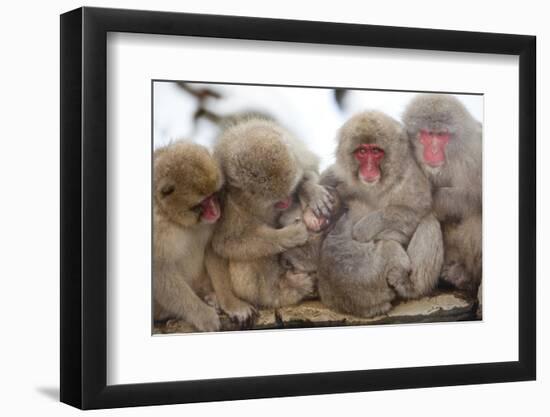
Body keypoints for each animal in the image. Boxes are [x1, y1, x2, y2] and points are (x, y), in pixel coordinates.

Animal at [153, 141, 224, 330]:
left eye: (213, 196)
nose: (216, 211)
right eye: (203, 202)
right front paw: (202, 314)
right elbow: (159, 269)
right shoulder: (158, 227)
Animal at [210, 115, 332, 316]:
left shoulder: (297, 152)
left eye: (289, 192)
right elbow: (226, 242)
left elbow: (310, 168)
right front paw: (289, 235)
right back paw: (282, 291)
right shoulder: (227, 200)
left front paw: (310, 191)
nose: (287, 201)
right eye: (276, 201)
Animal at [320, 110, 444, 316]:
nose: (369, 169)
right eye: (362, 152)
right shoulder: (337, 174)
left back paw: (411, 287)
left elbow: (417, 211)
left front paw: (364, 228)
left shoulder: (410, 176)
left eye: (376, 151)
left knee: (428, 221)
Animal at [404, 94, 486, 292]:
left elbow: (474, 196)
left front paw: (434, 201)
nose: (433, 151)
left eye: (441, 135)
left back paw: (465, 276)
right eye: (428, 134)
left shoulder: (475, 153)